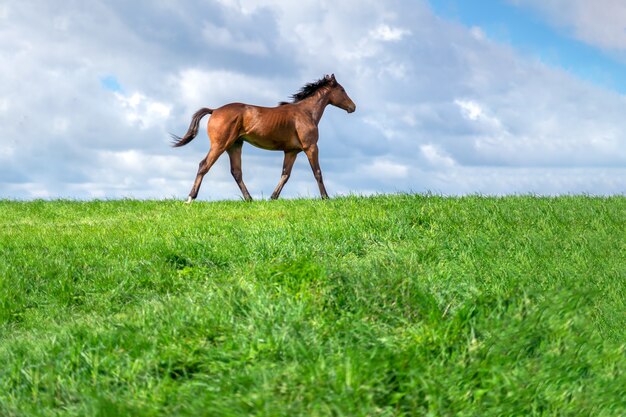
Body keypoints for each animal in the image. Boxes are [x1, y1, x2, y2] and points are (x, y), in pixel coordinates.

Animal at [171, 73, 356, 203]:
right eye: (342, 90)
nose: (352, 107)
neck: (306, 113)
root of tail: (214, 110)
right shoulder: (311, 147)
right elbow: (317, 172)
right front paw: (326, 198)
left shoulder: (291, 151)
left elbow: (285, 174)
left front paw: (273, 197)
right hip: (220, 145)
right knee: (204, 165)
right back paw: (190, 198)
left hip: (234, 146)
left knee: (236, 172)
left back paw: (249, 199)